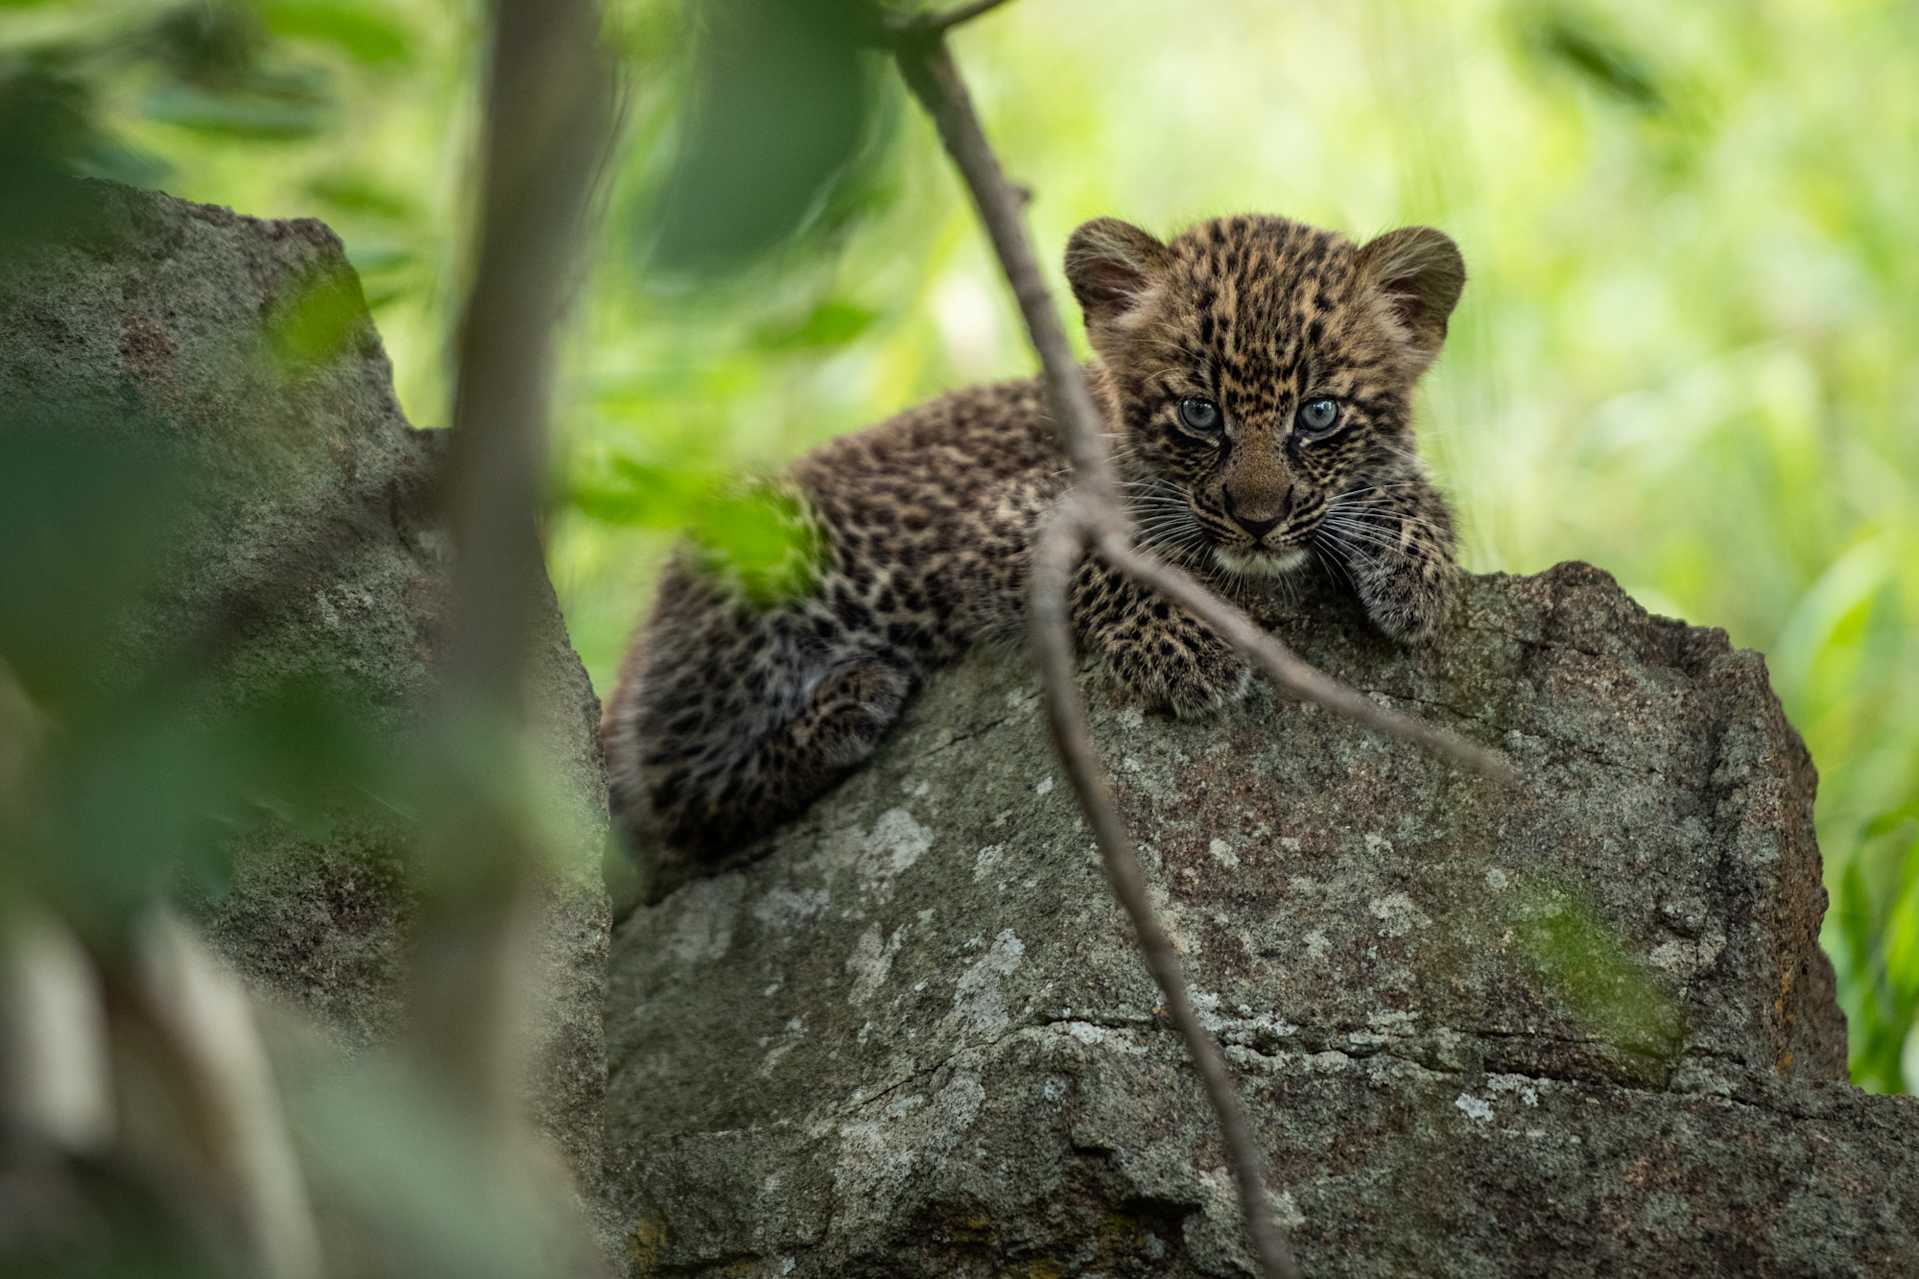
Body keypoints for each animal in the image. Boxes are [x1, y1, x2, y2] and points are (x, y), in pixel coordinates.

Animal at [602, 212, 1466, 882]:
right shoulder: (998, 521)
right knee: (670, 803)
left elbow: (1407, 488)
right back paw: (849, 703)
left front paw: (1418, 577)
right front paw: (1180, 645)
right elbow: (1108, 561)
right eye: (1198, 413)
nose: (1256, 517)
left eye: (1318, 414)